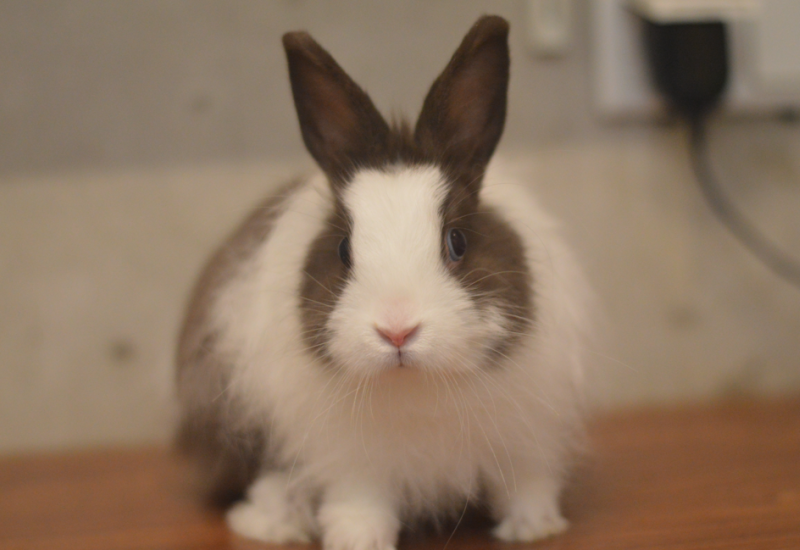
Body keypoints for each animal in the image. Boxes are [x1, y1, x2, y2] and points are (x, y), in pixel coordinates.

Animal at [176, 14, 590, 550]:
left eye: (457, 241)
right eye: (343, 249)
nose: (397, 331)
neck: (416, 386)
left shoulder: (526, 439)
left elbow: (527, 484)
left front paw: (534, 528)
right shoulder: (350, 461)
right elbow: (359, 503)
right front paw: (358, 540)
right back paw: (272, 522)